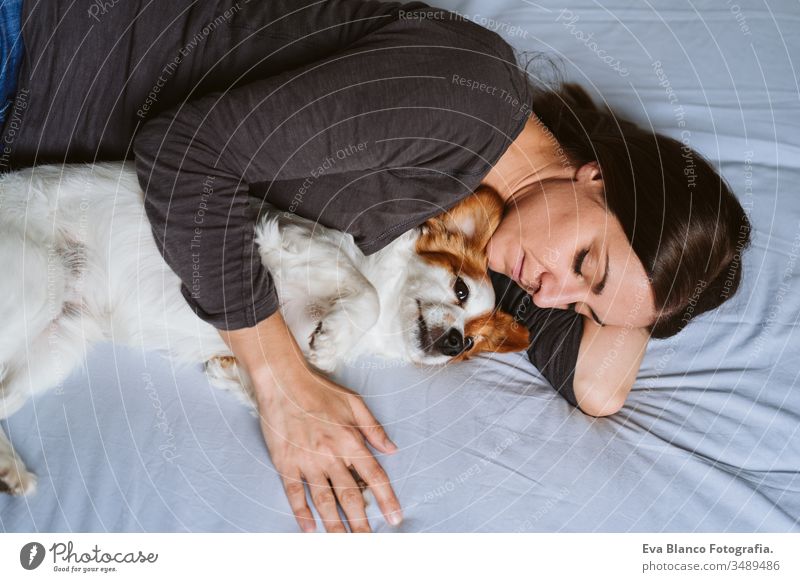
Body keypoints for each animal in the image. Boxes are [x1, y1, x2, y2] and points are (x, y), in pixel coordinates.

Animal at [0, 162, 532, 496]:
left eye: (470, 345)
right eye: (460, 290)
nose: (454, 342)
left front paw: (233, 373)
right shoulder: (279, 242)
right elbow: (366, 292)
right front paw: (332, 339)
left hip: (61, 342)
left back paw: (10, 470)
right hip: (37, 283)